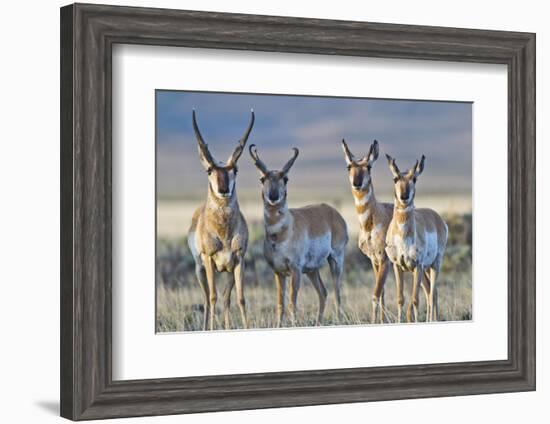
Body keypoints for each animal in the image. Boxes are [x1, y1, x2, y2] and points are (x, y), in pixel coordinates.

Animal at [185, 109, 254, 332]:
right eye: (209, 170)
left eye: (236, 169)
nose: (224, 189)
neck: (223, 233)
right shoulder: (208, 260)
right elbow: (213, 297)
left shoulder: (239, 261)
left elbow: (240, 298)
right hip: (200, 270)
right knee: (208, 299)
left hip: (227, 272)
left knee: (225, 299)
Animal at [250, 144, 350, 326]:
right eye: (262, 179)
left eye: (285, 179)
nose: (273, 196)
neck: (280, 235)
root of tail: (333, 212)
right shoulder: (278, 272)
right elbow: (280, 304)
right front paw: (279, 325)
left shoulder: (295, 270)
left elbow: (292, 302)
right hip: (312, 270)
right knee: (323, 292)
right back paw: (318, 322)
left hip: (335, 261)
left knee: (337, 292)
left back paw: (339, 320)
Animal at [342, 138, 394, 322]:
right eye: (349, 166)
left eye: (369, 166)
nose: (357, 183)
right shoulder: (374, 260)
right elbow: (382, 293)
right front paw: (382, 321)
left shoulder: (384, 260)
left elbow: (376, 295)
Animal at [386, 154, 450, 322]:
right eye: (395, 178)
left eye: (414, 179)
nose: (404, 196)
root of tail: (437, 218)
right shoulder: (397, 266)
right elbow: (400, 299)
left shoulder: (417, 266)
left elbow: (415, 300)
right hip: (426, 270)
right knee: (430, 292)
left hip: (434, 265)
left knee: (433, 293)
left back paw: (433, 320)